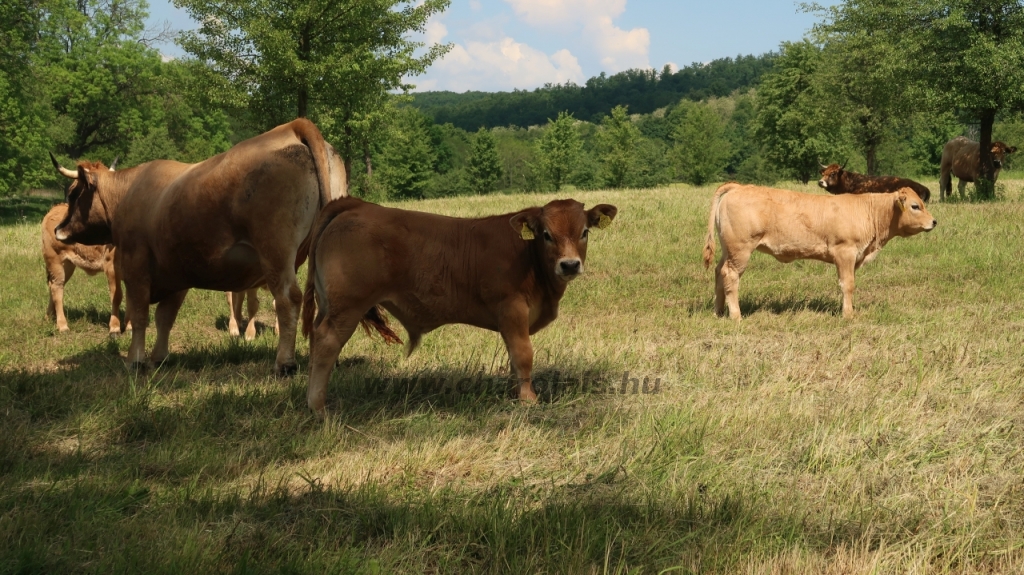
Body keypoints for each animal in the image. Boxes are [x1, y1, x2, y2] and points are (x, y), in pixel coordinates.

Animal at [50, 118, 348, 374]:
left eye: (73, 193)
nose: (57, 229)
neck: (128, 191)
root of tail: (292, 126)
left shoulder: (136, 266)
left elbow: (140, 314)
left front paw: (135, 360)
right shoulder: (176, 273)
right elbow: (165, 317)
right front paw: (159, 357)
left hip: (275, 251)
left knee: (287, 300)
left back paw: (284, 363)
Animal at [296, 196, 614, 411]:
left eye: (584, 232)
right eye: (547, 234)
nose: (570, 265)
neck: (529, 258)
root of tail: (356, 205)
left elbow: (513, 357)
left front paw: (515, 395)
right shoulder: (511, 308)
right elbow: (523, 354)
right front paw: (528, 401)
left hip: (329, 306)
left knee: (315, 342)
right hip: (346, 307)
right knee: (326, 343)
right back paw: (318, 407)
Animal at [704, 182, 937, 317]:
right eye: (915, 206)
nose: (934, 222)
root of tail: (739, 187)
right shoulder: (845, 252)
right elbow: (848, 285)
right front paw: (848, 315)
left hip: (728, 250)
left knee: (718, 272)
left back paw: (719, 311)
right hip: (740, 250)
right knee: (730, 275)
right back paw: (736, 315)